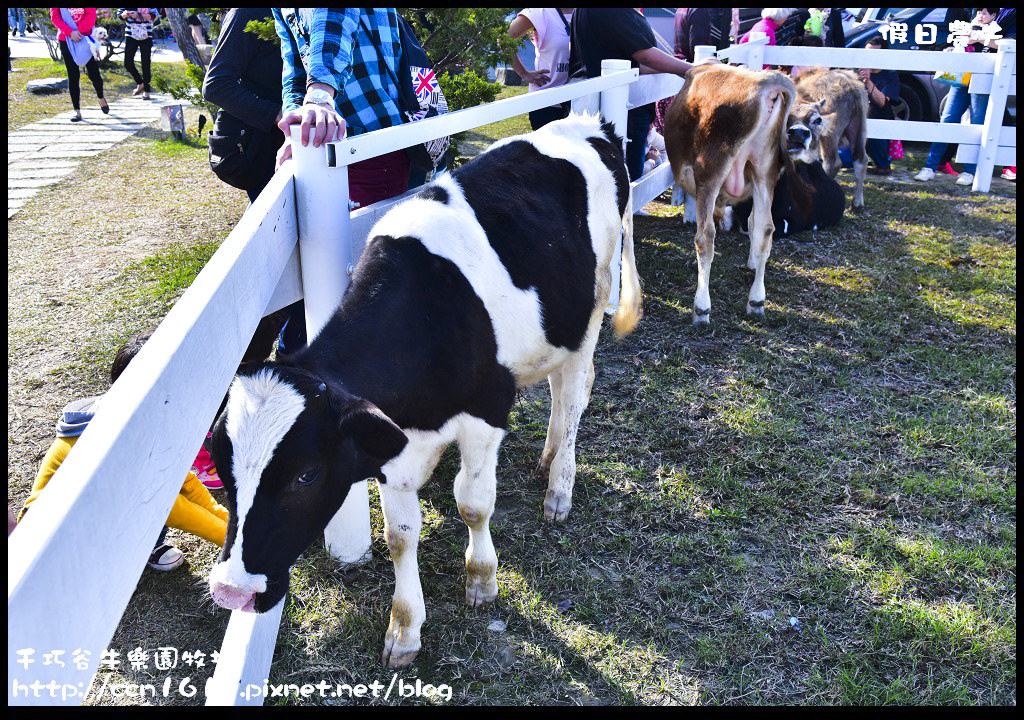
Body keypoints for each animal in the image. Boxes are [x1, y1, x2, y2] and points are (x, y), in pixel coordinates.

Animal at [206, 114, 638, 671]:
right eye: (221, 469)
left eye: (307, 474)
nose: (231, 590)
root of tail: (590, 122)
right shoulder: (389, 439)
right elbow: (399, 536)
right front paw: (405, 627)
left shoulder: (486, 412)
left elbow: (473, 503)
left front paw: (481, 580)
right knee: (558, 387)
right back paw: (547, 457)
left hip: (592, 303)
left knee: (574, 393)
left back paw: (559, 485)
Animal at [663, 64, 798, 323]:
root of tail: (767, 81)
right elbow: (754, 223)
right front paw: (752, 262)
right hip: (764, 169)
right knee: (765, 229)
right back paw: (756, 300)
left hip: (711, 168)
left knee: (705, 236)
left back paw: (701, 308)